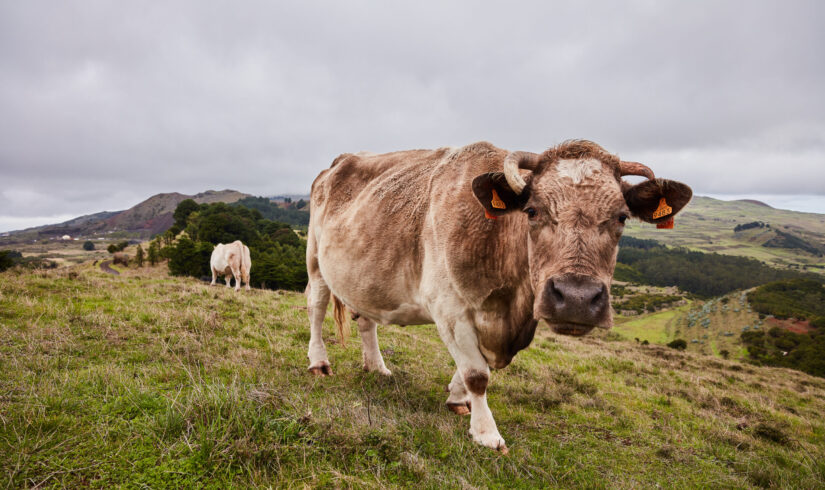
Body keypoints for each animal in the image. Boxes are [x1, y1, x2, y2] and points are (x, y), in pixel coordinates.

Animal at [305, 140, 691, 452]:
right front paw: (486, 433)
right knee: (316, 308)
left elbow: (476, 367)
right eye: (532, 211)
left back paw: (377, 366)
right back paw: (319, 363)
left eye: (622, 217)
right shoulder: (449, 307)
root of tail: (341, 160)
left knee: (365, 319)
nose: (577, 297)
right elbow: (478, 373)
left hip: (363, 275)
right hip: (315, 260)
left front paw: (457, 398)